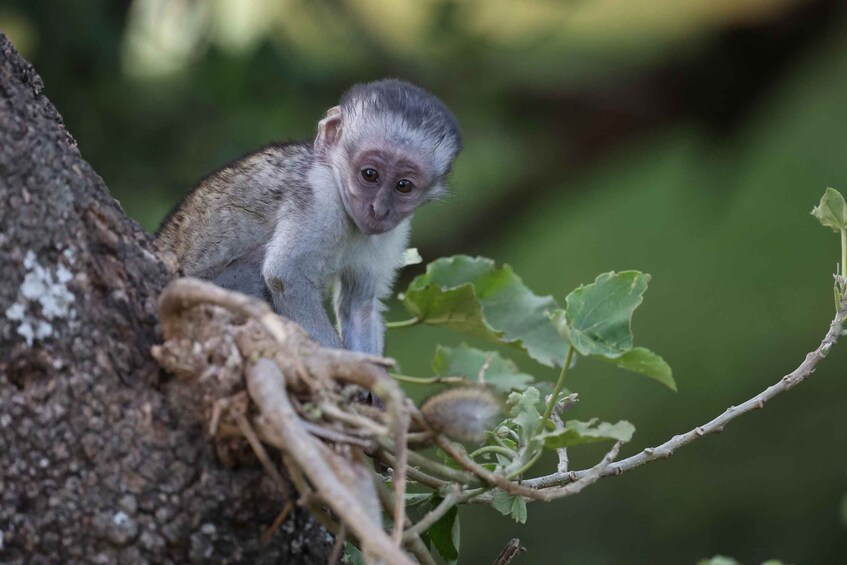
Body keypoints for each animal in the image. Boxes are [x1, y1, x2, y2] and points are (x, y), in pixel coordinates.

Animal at [156, 79, 462, 356]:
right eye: (370, 174)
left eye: (404, 186)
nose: (379, 209)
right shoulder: (321, 200)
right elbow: (285, 275)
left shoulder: (392, 231)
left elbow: (358, 306)